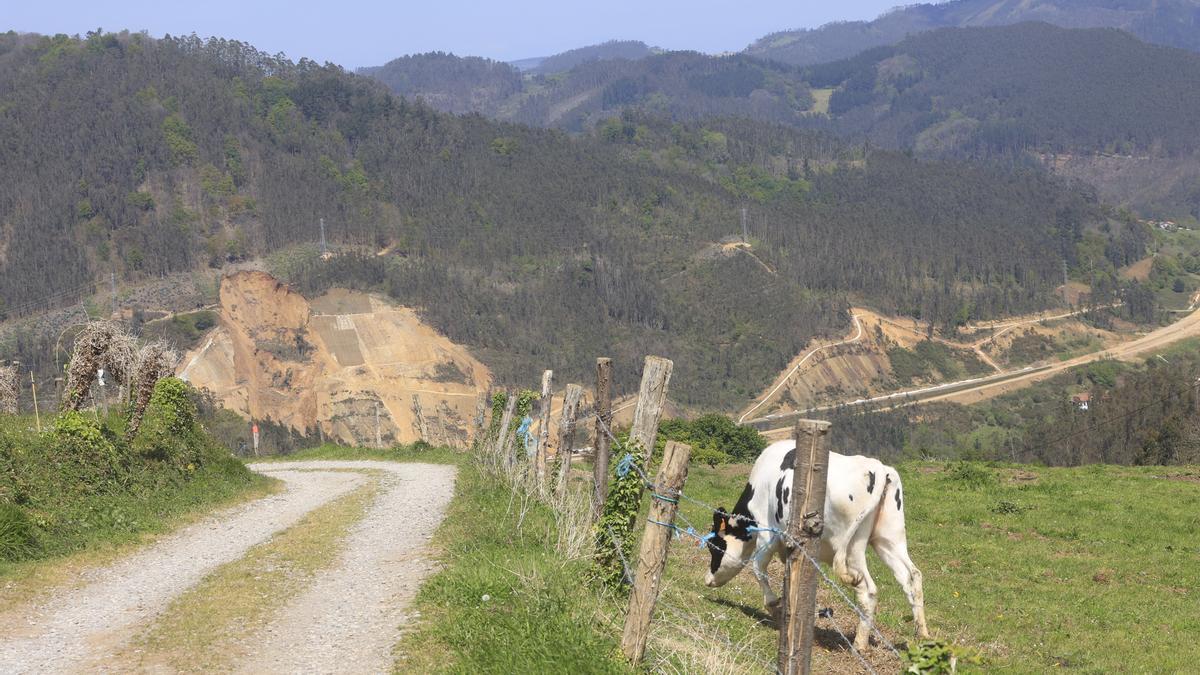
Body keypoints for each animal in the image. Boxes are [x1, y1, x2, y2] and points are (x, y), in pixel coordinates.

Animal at [700, 439, 926, 648]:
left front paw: (774, 607)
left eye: (713, 546)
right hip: (889, 538)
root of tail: (877, 468)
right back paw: (922, 635)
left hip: (852, 548)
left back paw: (859, 644)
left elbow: (758, 567)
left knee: (868, 591)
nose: (707, 579)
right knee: (911, 575)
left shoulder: (767, 533)